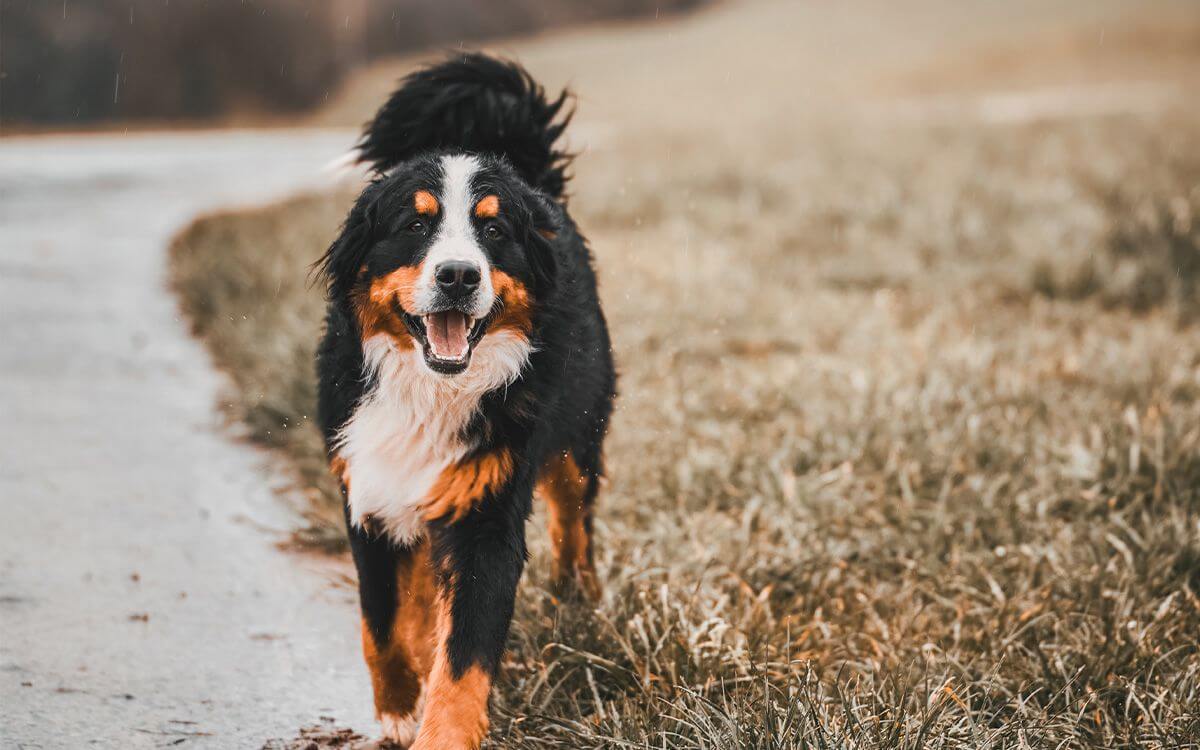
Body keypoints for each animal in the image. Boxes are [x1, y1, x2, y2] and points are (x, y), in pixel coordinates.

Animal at [316, 55, 619, 744]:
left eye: (492, 228)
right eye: (415, 224)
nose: (458, 274)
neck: (431, 391)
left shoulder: (486, 514)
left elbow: (463, 661)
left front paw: (442, 729)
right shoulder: (369, 490)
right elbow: (380, 624)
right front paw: (400, 706)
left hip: (578, 435)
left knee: (574, 521)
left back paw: (578, 597)